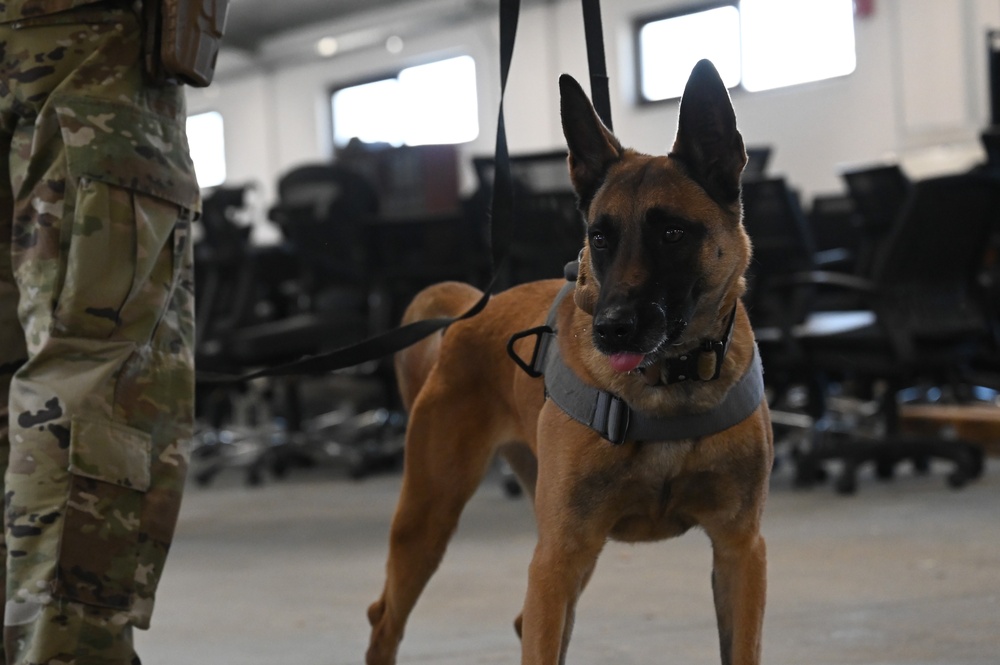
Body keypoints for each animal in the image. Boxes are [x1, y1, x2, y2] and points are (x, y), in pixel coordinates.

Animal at [366, 59, 772, 660]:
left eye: (673, 233)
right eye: (599, 238)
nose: (610, 329)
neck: (667, 386)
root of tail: (472, 311)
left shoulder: (739, 552)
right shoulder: (558, 557)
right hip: (431, 518)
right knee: (387, 619)